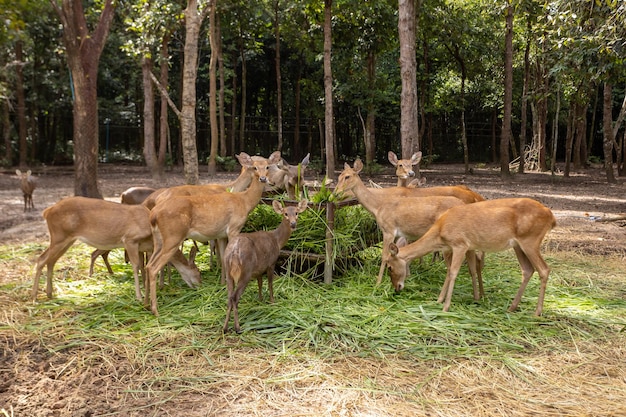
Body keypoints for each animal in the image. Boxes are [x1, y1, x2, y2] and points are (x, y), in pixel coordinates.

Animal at [31, 195, 200, 302]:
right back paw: (34, 296)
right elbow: (136, 266)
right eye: (198, 272)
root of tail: (47, 211)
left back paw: (49, 293)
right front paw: (139, 296)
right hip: (59, 236)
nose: (200, 284)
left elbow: (144, 267)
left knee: (51, 261)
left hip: (66, 240)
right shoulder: (130, 239)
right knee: (41, 259)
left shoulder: (144, 247)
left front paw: (146, 289)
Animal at [145, 151, 280, 314]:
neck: (244, 200)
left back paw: (146, 302)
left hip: (158, 239)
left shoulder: (221, 234)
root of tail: (153, 214)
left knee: (148, 265)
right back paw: (155, 309)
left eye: (267, 166)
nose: (264, 178)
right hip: (173, 236)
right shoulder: (234, 228)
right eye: (254, 167)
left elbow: (223, 257)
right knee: (153, 267)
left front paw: (223, 284)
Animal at [222, 198, 308, 332]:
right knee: (235, 297)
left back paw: (225, 327)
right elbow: (270, 283)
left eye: (297, 212)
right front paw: (272, 302)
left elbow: (260, 283)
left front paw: (261, 300)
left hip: (228, 270)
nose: (293, 224)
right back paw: (237, 327)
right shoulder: (271, 263)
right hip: (245, 271)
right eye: (285, 213)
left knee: (229, 297)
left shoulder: (258, 269)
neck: (277, 241)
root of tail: (234, 252)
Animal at [332, 158, 482, 288]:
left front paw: (378, 283)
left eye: (347, 177)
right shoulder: (400, 233)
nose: (335, 193)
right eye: (339, 176)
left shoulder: (389, 230)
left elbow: (384, 256)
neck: (378, 206)